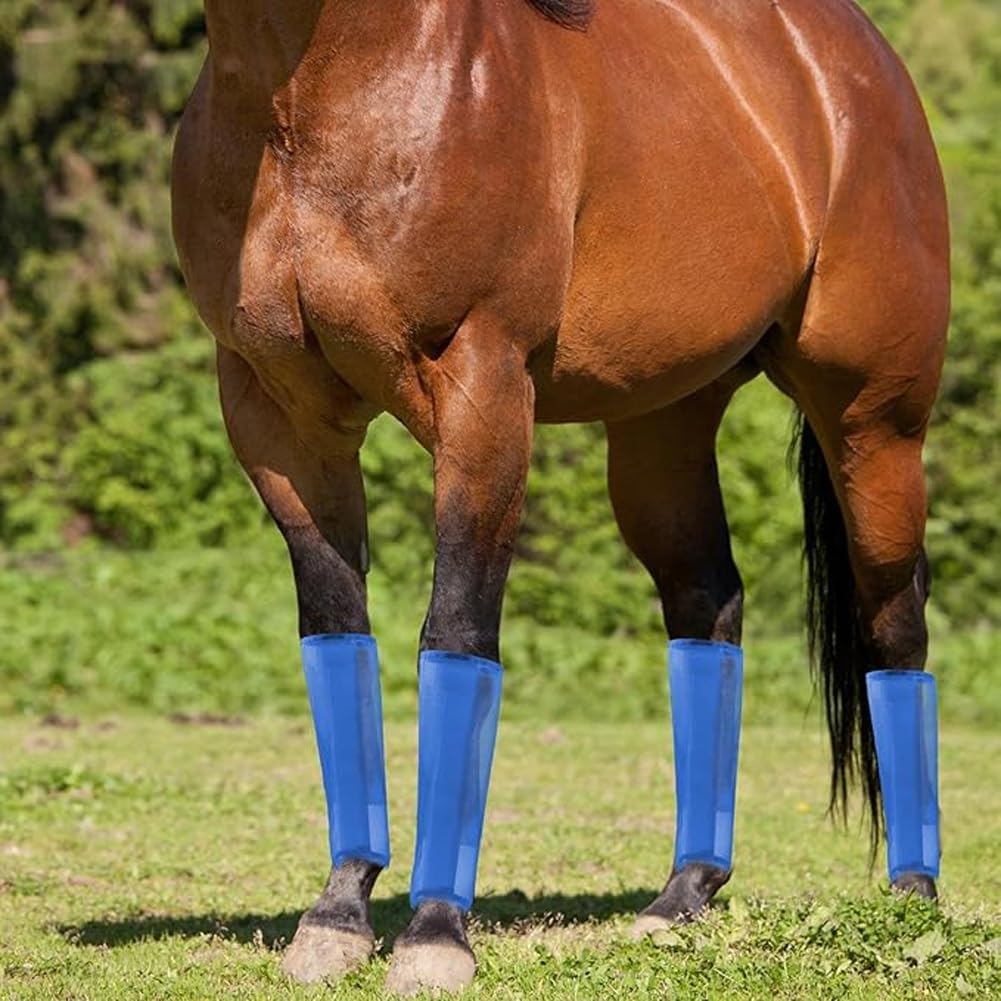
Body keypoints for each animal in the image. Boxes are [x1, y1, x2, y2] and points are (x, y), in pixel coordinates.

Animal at [171, 0, 948, 993]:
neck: (310, 101)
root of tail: (858, 62)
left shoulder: (483, 389)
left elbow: (456, 634)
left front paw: (433, 933)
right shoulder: (276, 415)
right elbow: (336, 630)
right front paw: (338, 914)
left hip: (873, 423)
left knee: (895, 624)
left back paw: (912, 900)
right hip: (662, 429)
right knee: (708, 605)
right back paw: (682, 895)